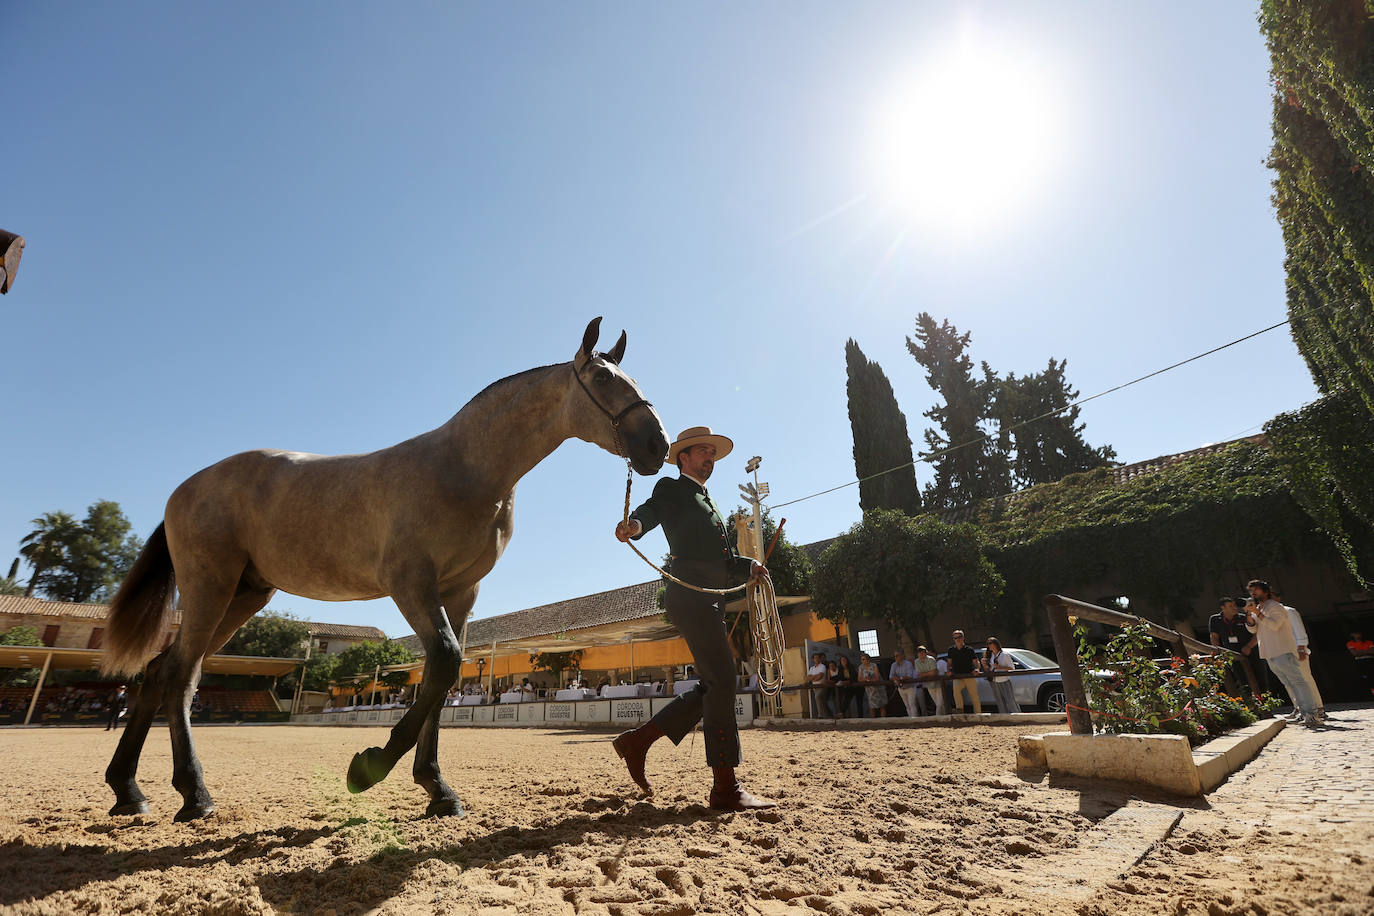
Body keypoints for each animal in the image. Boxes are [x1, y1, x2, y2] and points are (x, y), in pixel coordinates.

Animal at [99, 318, 668, 821]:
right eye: (602, 380)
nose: (656, 446)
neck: (466, 468)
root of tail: (186, 488)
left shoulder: (461, 591)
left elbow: (445, 675)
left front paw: (438, 790)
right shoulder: (411, 584)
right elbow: (443, 661)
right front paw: (369, 768)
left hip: (244, 595)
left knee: (162, 671)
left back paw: (129, 790)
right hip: (210, 587)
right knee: (180, 676)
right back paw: (194, 795)